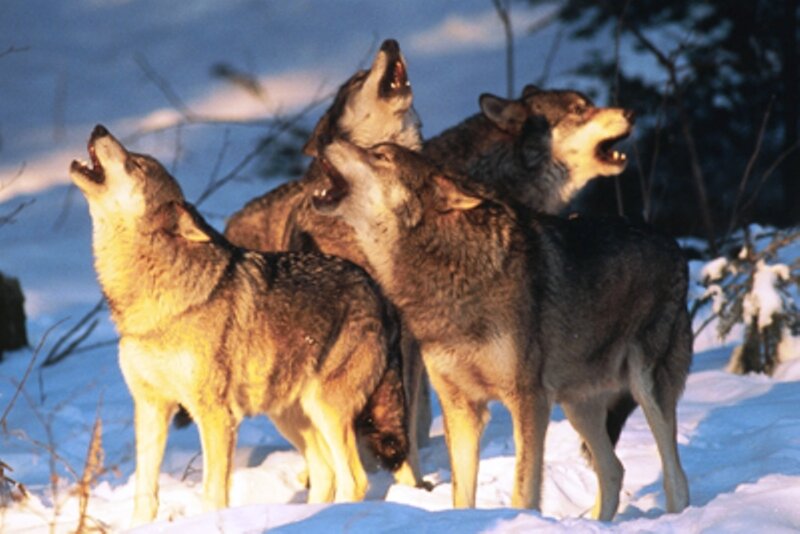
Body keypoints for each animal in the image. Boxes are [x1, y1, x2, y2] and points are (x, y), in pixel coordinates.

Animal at [70, 125, 408, 525]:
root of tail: (376, 290)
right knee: (325, 474)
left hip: (326, 412)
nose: (100, 128)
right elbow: (145, 492)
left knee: (354, 480)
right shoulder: (151, 407)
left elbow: (213, 493)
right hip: (292, 418)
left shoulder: (215, 414)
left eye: (135, 164)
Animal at [316, 139, 691, 520]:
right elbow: (462, 494)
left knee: (675, 476)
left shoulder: (529, 400)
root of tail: (673, 244)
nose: (327, 140)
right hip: (577, 406)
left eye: (382, 155)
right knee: (613, 469)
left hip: (646, 389)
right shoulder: (461, 408)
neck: (449, 271)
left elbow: (523, 491)